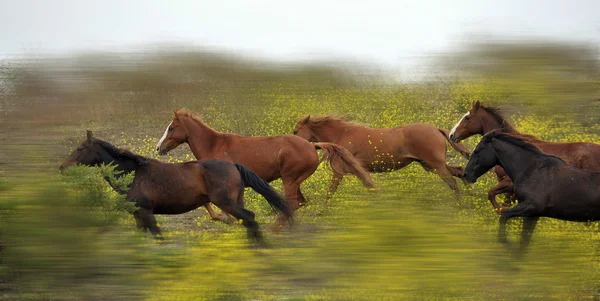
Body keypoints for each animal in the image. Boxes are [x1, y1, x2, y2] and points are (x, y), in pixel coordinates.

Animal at [59, 129, 292, 244]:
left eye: (80, 148)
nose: (62, 167)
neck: (133, 174)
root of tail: (233, 165)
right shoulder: (137, 215)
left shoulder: (147, 212)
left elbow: (158, 236)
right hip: (235, 201)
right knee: (248, 221)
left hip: (226, 202)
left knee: (250, 218)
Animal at [152, 108, 372, 225]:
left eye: (171, 127)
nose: (158, 148)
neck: (215, 145)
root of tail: (312, 145)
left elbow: (212, 205)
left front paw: (225, 218)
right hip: (295, 181)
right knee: (299, 203)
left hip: (289, 180)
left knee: (291, 203)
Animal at [292, 113, 472, 196]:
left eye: (295, 131)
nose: (295, 144)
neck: (342, 134)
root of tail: (436, 129)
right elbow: (369, 186)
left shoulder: (339, 171)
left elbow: (330, 192)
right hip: (429, 165)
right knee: (459, 171)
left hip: (436, 165)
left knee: (453, 184)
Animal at [464, 130, 600, 254]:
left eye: (477, 151)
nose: (466, 175)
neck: (531, 170)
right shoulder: (533, 215)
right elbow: (524, 241)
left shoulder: (531, 207)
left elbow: (504, 216)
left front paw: (507, 244)